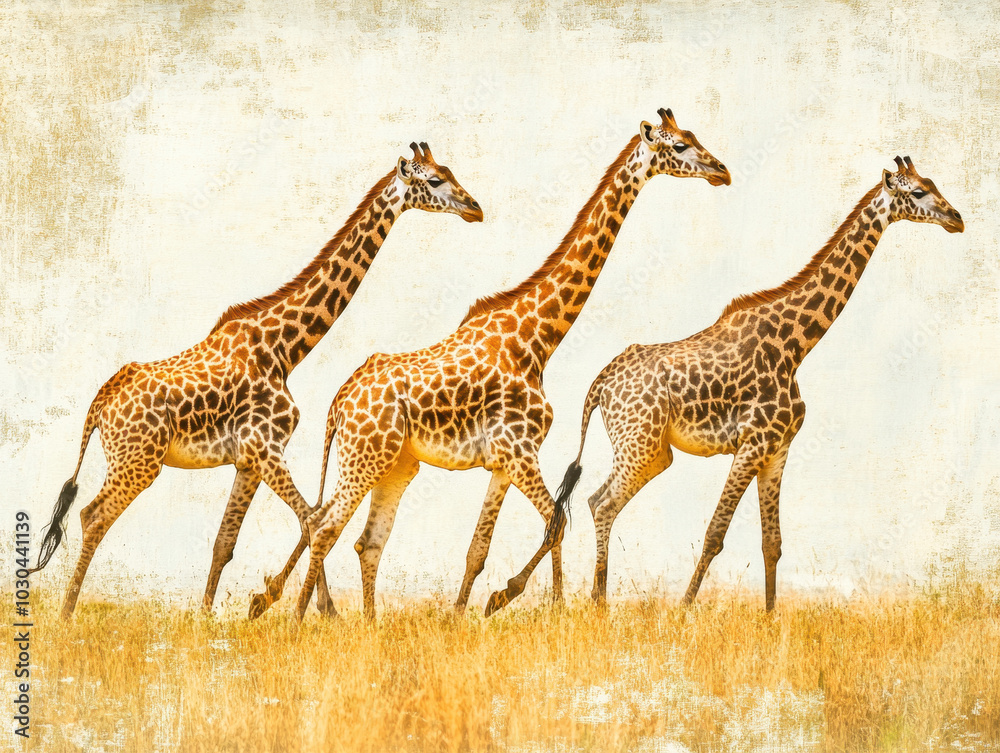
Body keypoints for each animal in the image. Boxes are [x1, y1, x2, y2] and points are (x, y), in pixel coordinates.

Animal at [30, 142, 483, 620]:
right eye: (434, 180)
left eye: (449, 170)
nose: (476, 208)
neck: (284, 349)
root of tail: (99, 403)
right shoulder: (266, 446)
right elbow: (311, 517)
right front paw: (307, 607)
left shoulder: (247, 459)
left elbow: (226, 542)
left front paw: (212, 613)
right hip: (138, 460)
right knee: (93, 516)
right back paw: (65, 614)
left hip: (132, 459)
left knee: (91, 515)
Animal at [257, 108, 731, 622]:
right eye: (679, 147)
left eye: (694, 136)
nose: (722, 171)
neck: (537, 337)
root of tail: (339, 403)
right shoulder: (519, 450)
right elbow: (554, 523)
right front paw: (528, 604)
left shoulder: (504, 461)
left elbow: (481, 548)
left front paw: (464, 613)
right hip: (366, 455)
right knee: (325, 525)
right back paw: (302, 619)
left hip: (394, 463)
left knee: (363, 540)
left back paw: (362, 621)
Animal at [551, 156, 964, 610]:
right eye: (919, 192)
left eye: (934, 183)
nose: (957, 219)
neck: (796, 346)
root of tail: (598, 386)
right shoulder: (751, 444)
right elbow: (715, 534)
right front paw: (683, 611)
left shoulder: (778, 449)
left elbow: (772, 543)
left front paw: (769, 618)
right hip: (642, 446)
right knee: (604, 503)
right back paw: (599, 604)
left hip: (647, 450)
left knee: (594, 499)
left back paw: (596, 599)